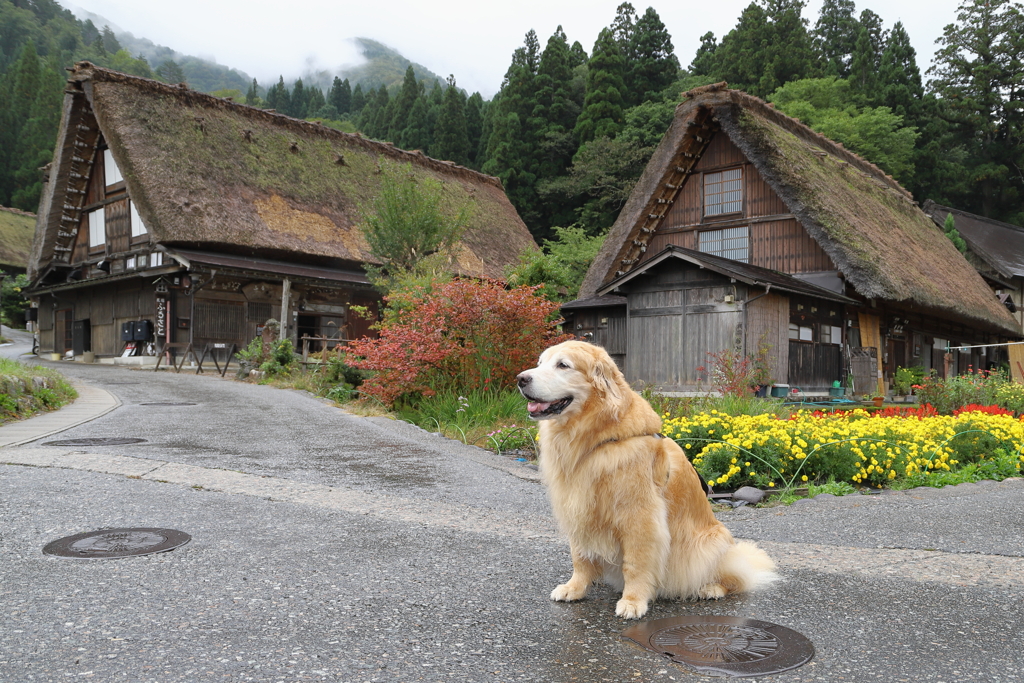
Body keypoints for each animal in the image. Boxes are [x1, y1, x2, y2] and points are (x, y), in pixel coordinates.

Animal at [516, 339, 770, 618]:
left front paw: (633, 600)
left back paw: (710, 588)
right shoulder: (579, 509)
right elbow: (580, 556)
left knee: (732, 578)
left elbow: (635, 564)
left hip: (712, 543)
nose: (520, 378)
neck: (597, 441)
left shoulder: (639, 517)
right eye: (540, 363)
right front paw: (575, 588)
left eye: (563, 365)